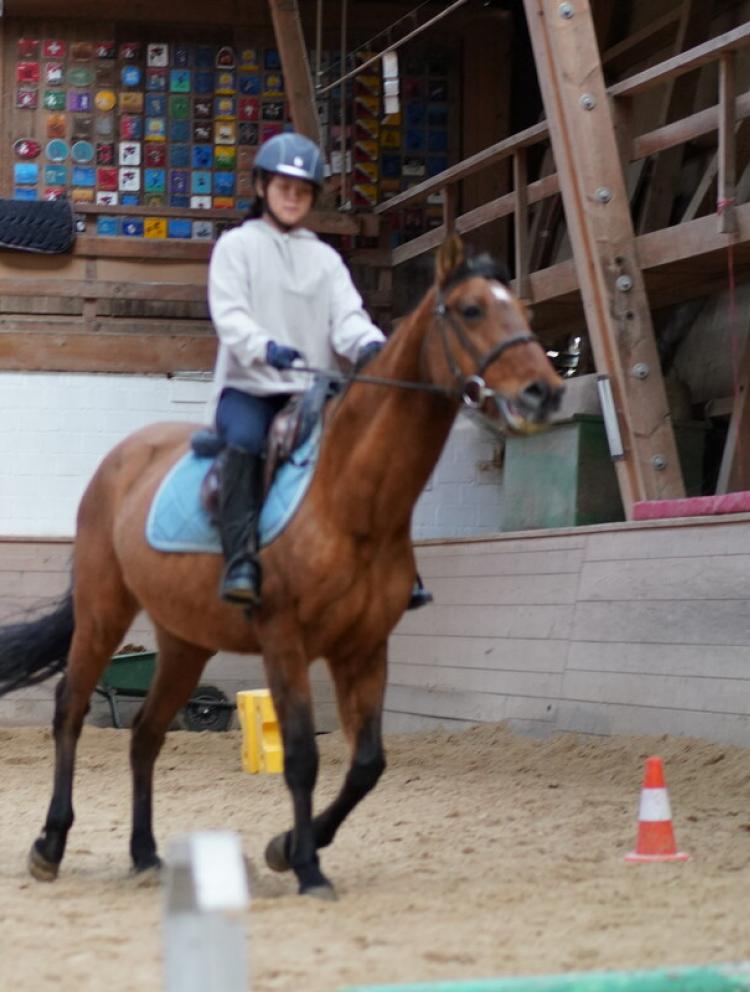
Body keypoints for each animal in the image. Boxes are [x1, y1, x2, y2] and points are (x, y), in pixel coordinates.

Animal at [0, 235, 563, 899]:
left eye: (523, 310)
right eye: (473, 310)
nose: (545, 392)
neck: (352, 501)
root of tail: (122, 459)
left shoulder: (364, 648)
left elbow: (367, 763)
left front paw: (286, 847)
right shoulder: (285, 640)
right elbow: (300, 755)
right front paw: (308, 868)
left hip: (186, 642)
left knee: (145, 732)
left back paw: (145, 854)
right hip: (103, 612)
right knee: (71, 709)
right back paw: (50, 846)